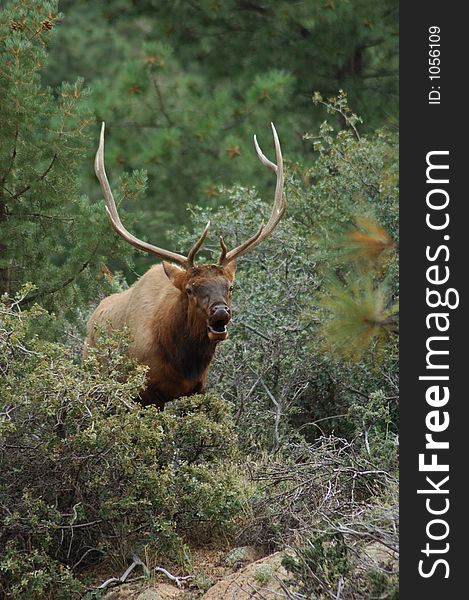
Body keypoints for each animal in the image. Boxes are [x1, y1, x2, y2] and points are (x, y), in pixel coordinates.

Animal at [86, 124, 286, 410]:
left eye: (230, 287)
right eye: (191, 289)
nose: (220, 311)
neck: (182, 363)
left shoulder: (197, 389)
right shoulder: (144, 392)